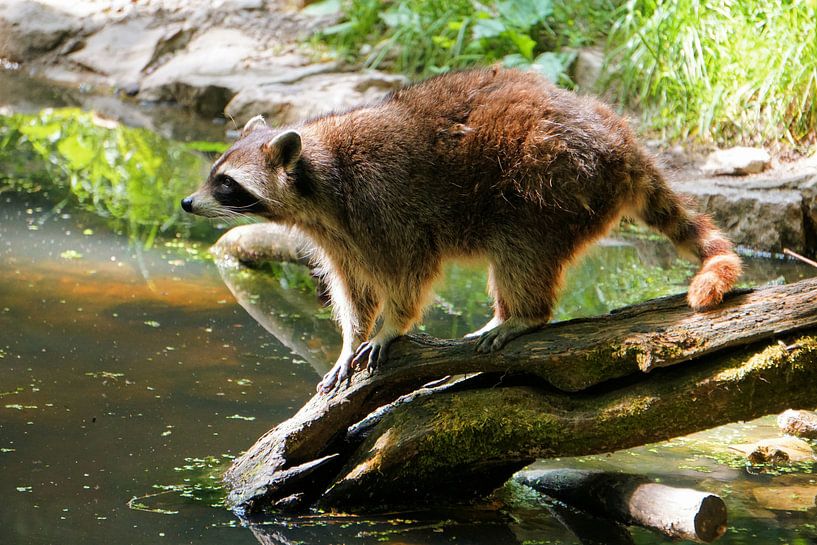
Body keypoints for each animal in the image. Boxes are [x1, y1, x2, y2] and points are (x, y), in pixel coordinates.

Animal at [182, 67, 742, 393]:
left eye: (226, 184)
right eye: (215, 173)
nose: (187, 203)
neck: (319, 177)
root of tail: (624, 143)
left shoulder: (385, 205)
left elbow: (408, 274)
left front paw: (389, 326)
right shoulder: (338, 236)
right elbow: (353, 288)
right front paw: (351, 335)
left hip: (553, 180)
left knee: (521, 251)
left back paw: (521, 315)